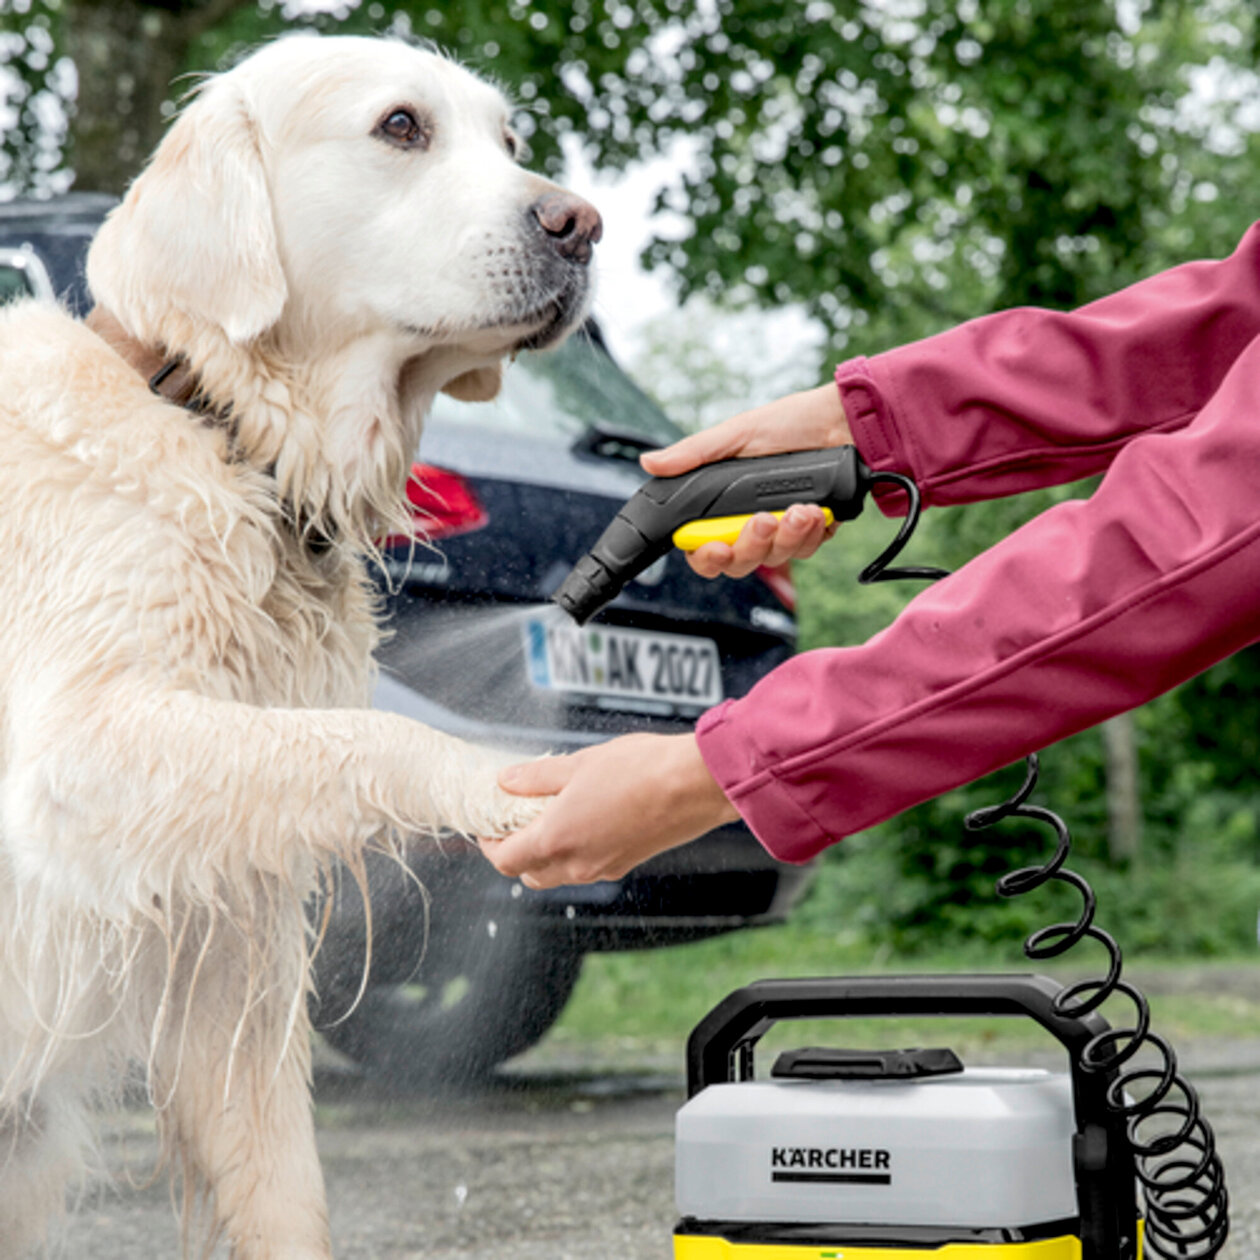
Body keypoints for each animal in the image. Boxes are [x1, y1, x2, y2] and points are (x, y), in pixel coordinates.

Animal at [0, 31, 602, 1260]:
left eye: (509, 137)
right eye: (401, 126)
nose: (581, 224)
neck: (217, 430)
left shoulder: (228, 934)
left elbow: (279, 1184)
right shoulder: (69, 758)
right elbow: (367, 738)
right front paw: (500, 786)